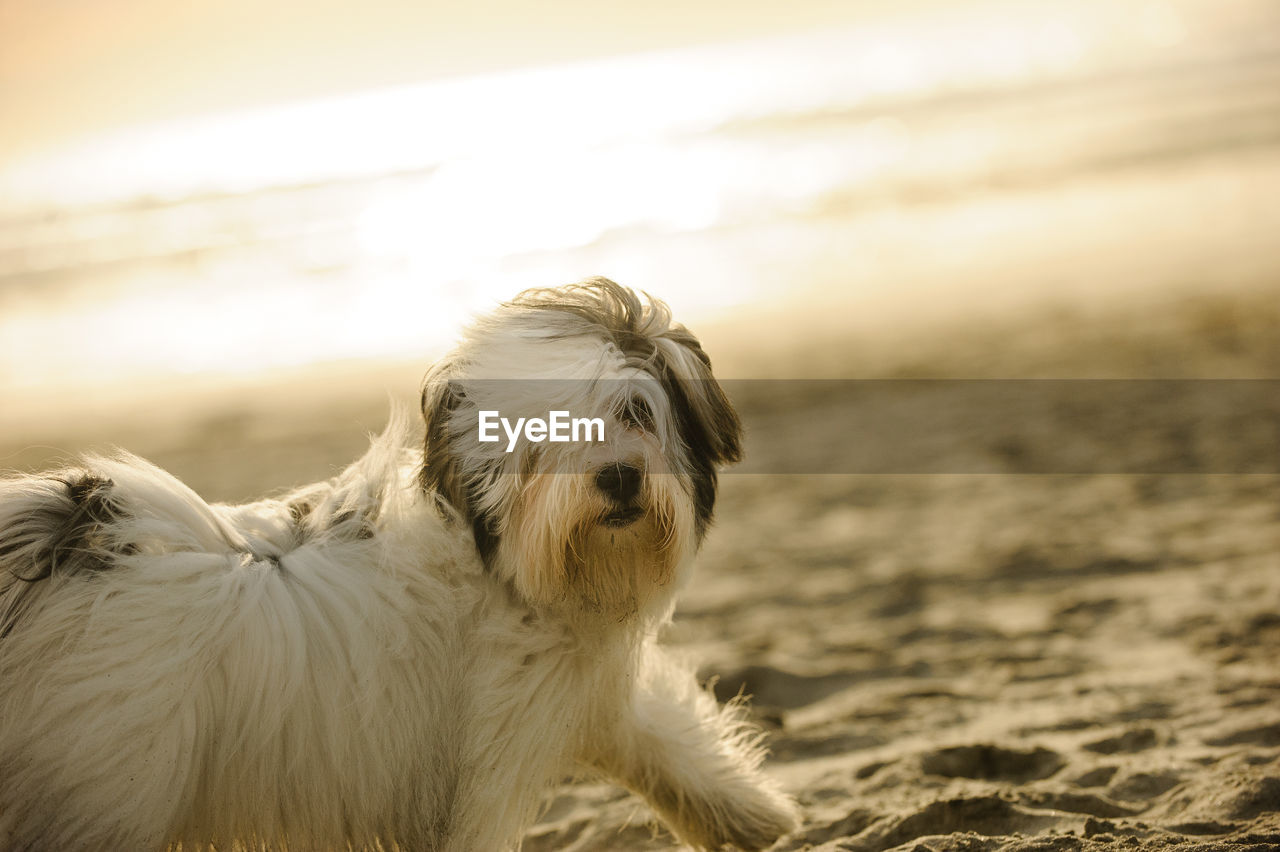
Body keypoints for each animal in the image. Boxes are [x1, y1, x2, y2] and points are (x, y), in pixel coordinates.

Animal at [0, 280, 798, 849]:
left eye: (635, 411)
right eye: (544, 438)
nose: (622, 477)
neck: (501, 569)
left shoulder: (579, 691)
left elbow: (659, 737)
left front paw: (755, 818)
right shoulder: (483, 758)